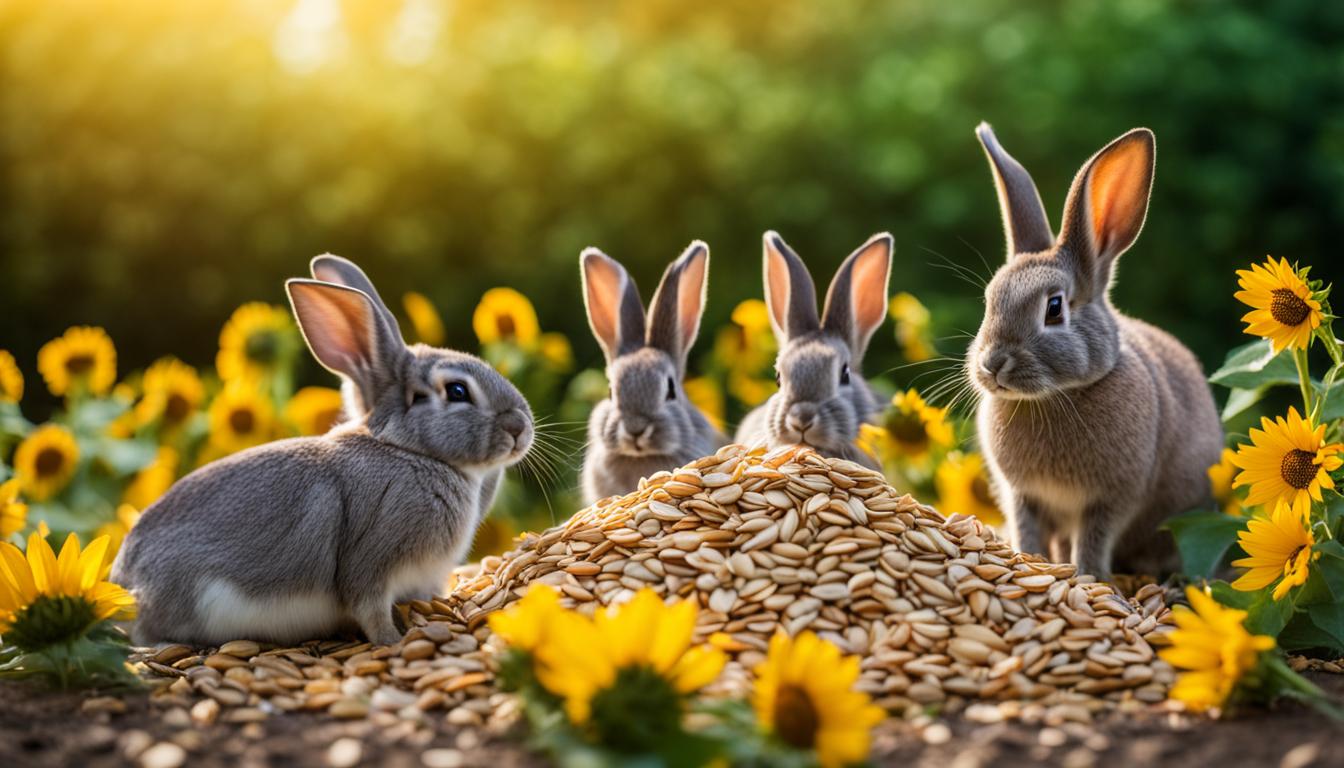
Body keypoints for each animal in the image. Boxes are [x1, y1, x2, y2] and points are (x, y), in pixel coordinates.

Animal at [111, 266, 534, 646]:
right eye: (458, 391)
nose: (521, 427)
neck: (408, 449)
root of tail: (123, 586)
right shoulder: (373, 561)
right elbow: (370, 608)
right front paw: (393, 642)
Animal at [966, 123, 1222, 579]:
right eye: (989, 300)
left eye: (1054, 308)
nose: (992, 364)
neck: (1055, 397)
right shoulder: (1022, 495)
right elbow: (1028, 528)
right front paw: (1027, 559)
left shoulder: (1113, 499)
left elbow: (1093, 539)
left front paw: (1088, 577)